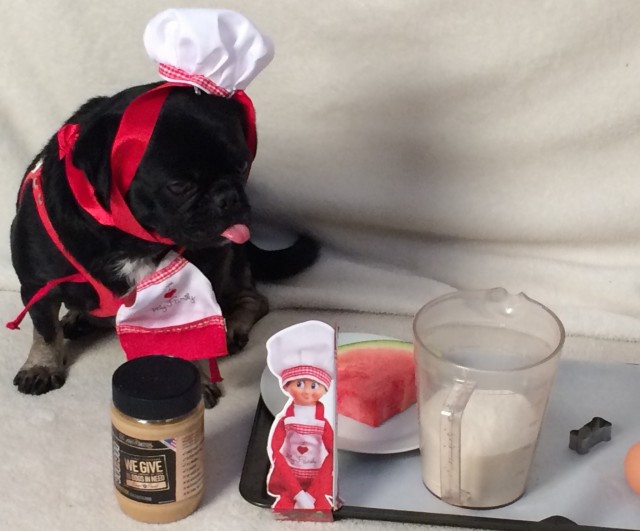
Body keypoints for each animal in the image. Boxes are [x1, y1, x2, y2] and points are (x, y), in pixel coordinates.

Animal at [8, 82, 318, 408]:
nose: (229, 197)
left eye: (243, 165)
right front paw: (41, 366)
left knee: (253, 299)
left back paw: (231, 327)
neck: (131, 238)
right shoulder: (37, 285)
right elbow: (45, 330)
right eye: (179, 186)